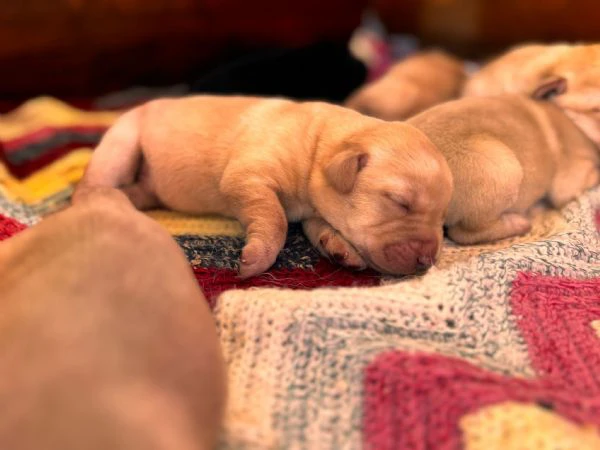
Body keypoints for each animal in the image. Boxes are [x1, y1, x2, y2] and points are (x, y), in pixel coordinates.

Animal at [75, 96, 452, 276]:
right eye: (399, 202)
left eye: (443, 220)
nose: (427, 260)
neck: (318, 146)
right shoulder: (248, 176)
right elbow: (275, 218)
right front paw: (257, 258)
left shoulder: (315, 205)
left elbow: (319, 227)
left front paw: (340, 248)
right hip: (122, 142)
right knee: (90, 185)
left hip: (145, 183)